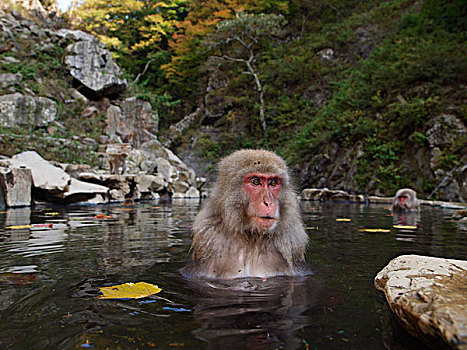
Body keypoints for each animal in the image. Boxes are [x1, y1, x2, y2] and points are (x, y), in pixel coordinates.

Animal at [183, 150, 310, 278]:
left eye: (273, 183)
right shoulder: (207, 241)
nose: (268, 202)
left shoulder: (293, 246)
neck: (252, 237)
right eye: (256, 181)